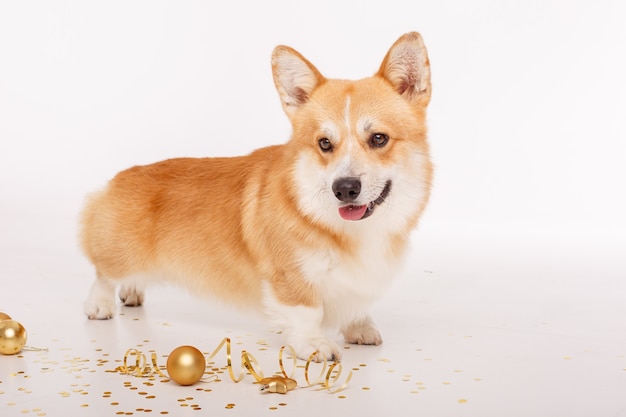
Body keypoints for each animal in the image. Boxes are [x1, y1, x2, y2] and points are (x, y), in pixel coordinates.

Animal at [80, 30, 432, 360]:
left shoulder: (359, 280)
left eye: (378, 138)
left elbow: (356, 303)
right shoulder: (290, 276)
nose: (344, 188)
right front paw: (314, 345)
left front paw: (359, 327)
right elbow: (307, 311)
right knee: (104, 274)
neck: (353, 232)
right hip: (121, 252)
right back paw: (100, 305)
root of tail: (118, 178)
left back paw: (132, 292)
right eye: (324, 143)